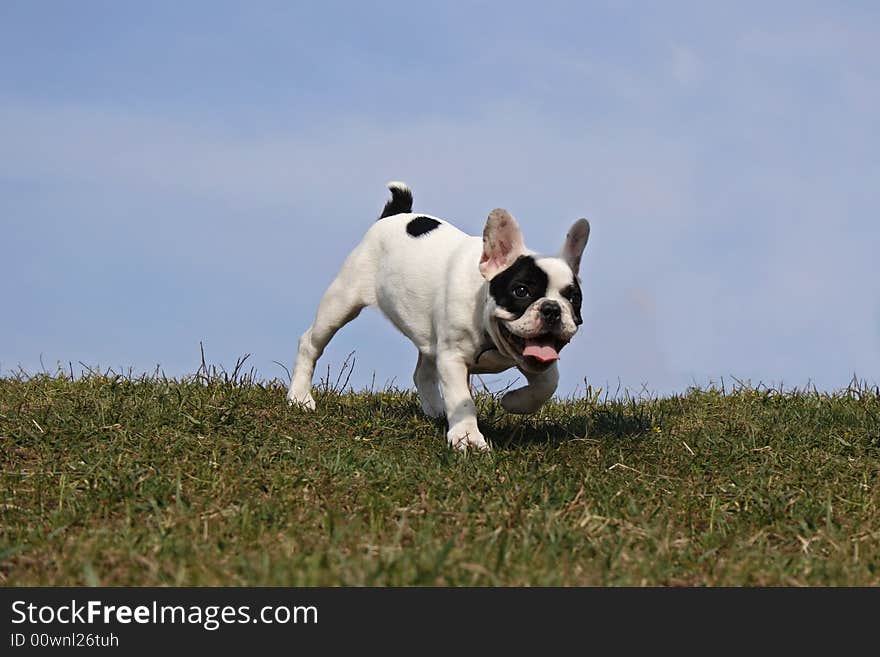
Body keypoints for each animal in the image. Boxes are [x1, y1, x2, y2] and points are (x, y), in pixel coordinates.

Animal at [290, 182, 592, 448]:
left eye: (574, 298)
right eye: (521, 291)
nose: (552, 309)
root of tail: (395, 215)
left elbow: (548, 384)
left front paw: (513, 402)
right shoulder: (453, 358)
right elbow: (463, 399)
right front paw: (468, 438)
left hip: (428, 333)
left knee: (422, 373)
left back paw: (436, 409)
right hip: (341, 301)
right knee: (311, 343)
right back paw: (300, 397)